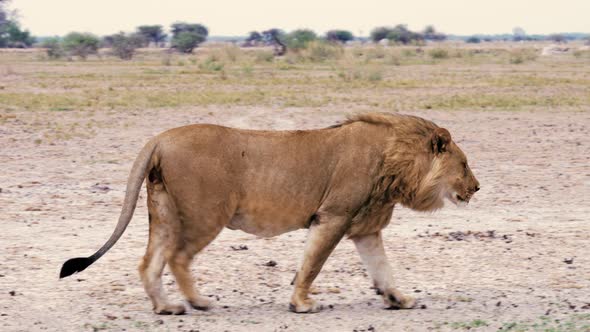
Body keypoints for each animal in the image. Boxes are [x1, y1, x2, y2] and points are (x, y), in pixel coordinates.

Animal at [60, 111, 480, 314]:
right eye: (463, 164)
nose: (476, 188)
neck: (396, 163)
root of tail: (159, 138)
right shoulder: (333, 216)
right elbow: (312, 264)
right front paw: (302, 305)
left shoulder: (365, 227)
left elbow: (381, 268)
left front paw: (399, 299)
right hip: (204, 214)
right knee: (178, 258)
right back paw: (198, 303)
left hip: (163, 211)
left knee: (150, 262)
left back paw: (166, 308)